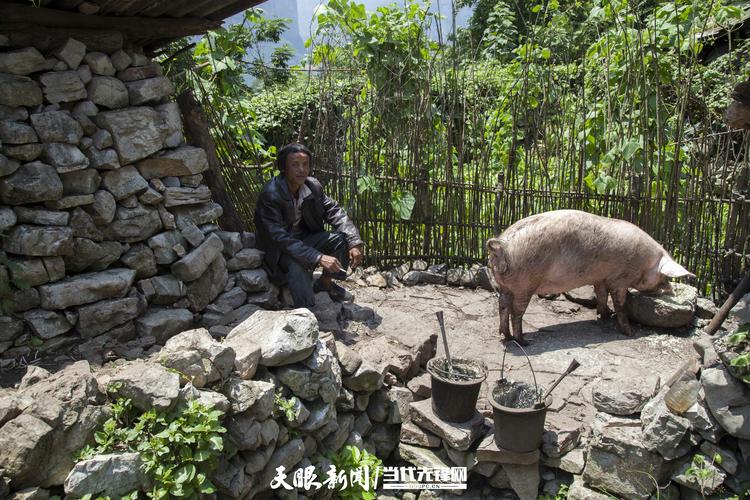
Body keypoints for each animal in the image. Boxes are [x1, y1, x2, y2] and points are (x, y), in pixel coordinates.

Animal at [490, 210, 696, 344]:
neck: (644, 262)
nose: (672, 291)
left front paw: (604, 315)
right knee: (516, 312)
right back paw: (524, 341)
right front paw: (629, 331)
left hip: (505, 286)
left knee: (502, 306)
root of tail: (502, 246)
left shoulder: (600, 278)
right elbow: (620, 304)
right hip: (525, 284)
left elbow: (602, 296)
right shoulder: (619, 279)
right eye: (664, 277)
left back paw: (506, 337)